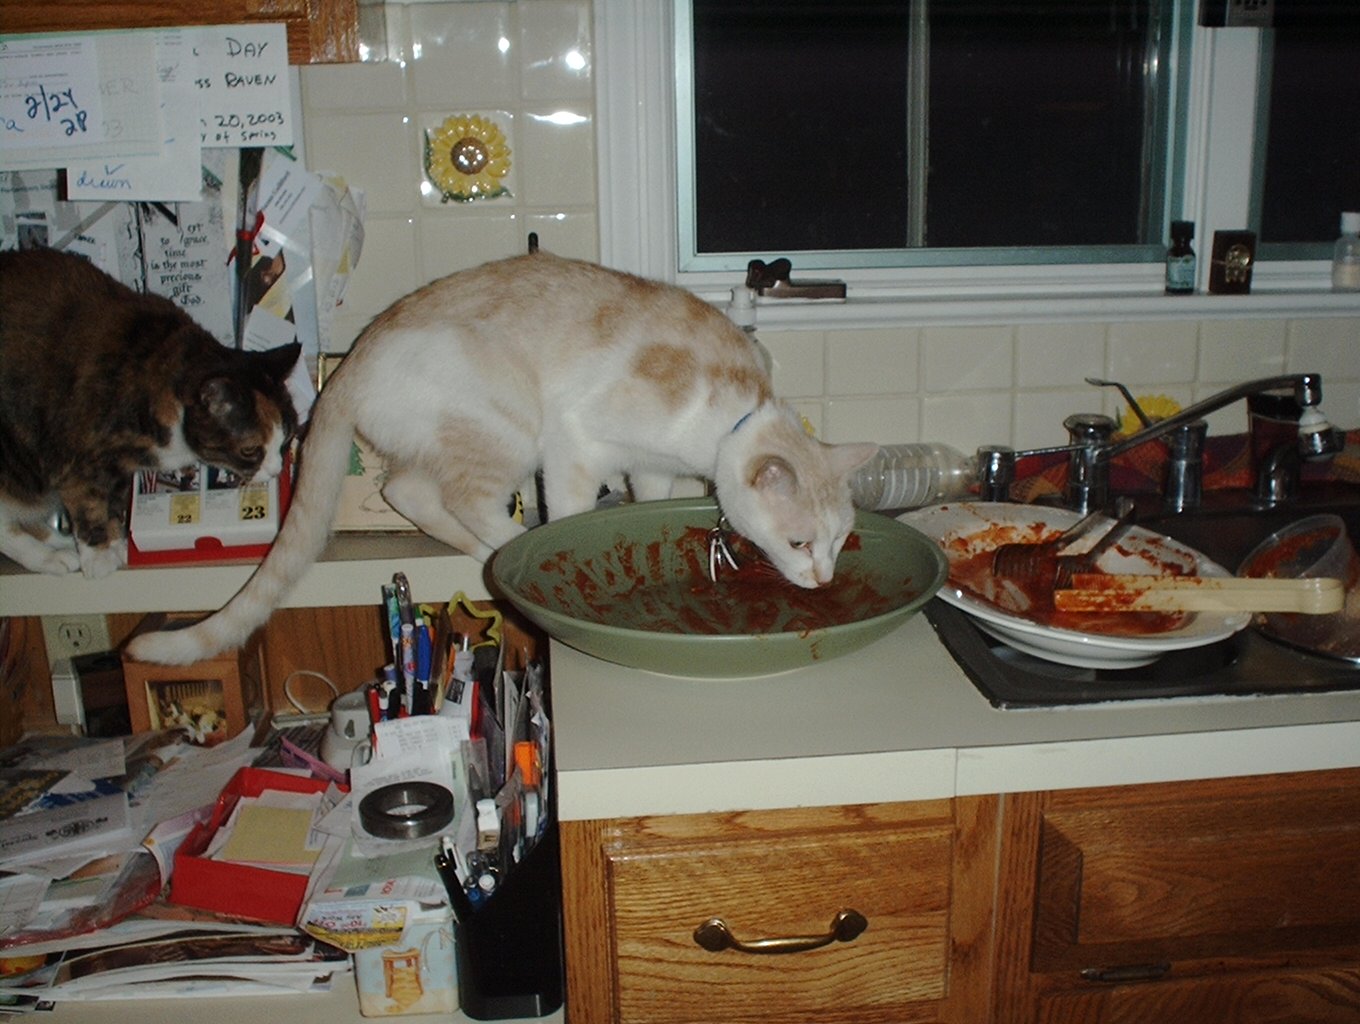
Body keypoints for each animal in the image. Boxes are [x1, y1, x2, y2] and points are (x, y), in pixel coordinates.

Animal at [0, 247, 301, 579]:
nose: (276, 470)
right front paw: (99, 555)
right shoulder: (74, 456)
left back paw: (59, 542)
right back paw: (52, 558)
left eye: (287, 439)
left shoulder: (118, 469)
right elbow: (89, 504)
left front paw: (118, 543)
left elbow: (114, 504)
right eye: (249, 450)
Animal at [127, 250, 878, 665]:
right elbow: (575, 511)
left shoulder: (649, 464)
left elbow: (650, 498)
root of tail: (348, 367)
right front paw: (568, 543)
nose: (821, 579)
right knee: (455, 496)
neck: (733, 410)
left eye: (841, 542)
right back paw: (513, 539)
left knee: (407, 491)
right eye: (799, 542)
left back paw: (488, 549)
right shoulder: (576, 440)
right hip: (513, 425)